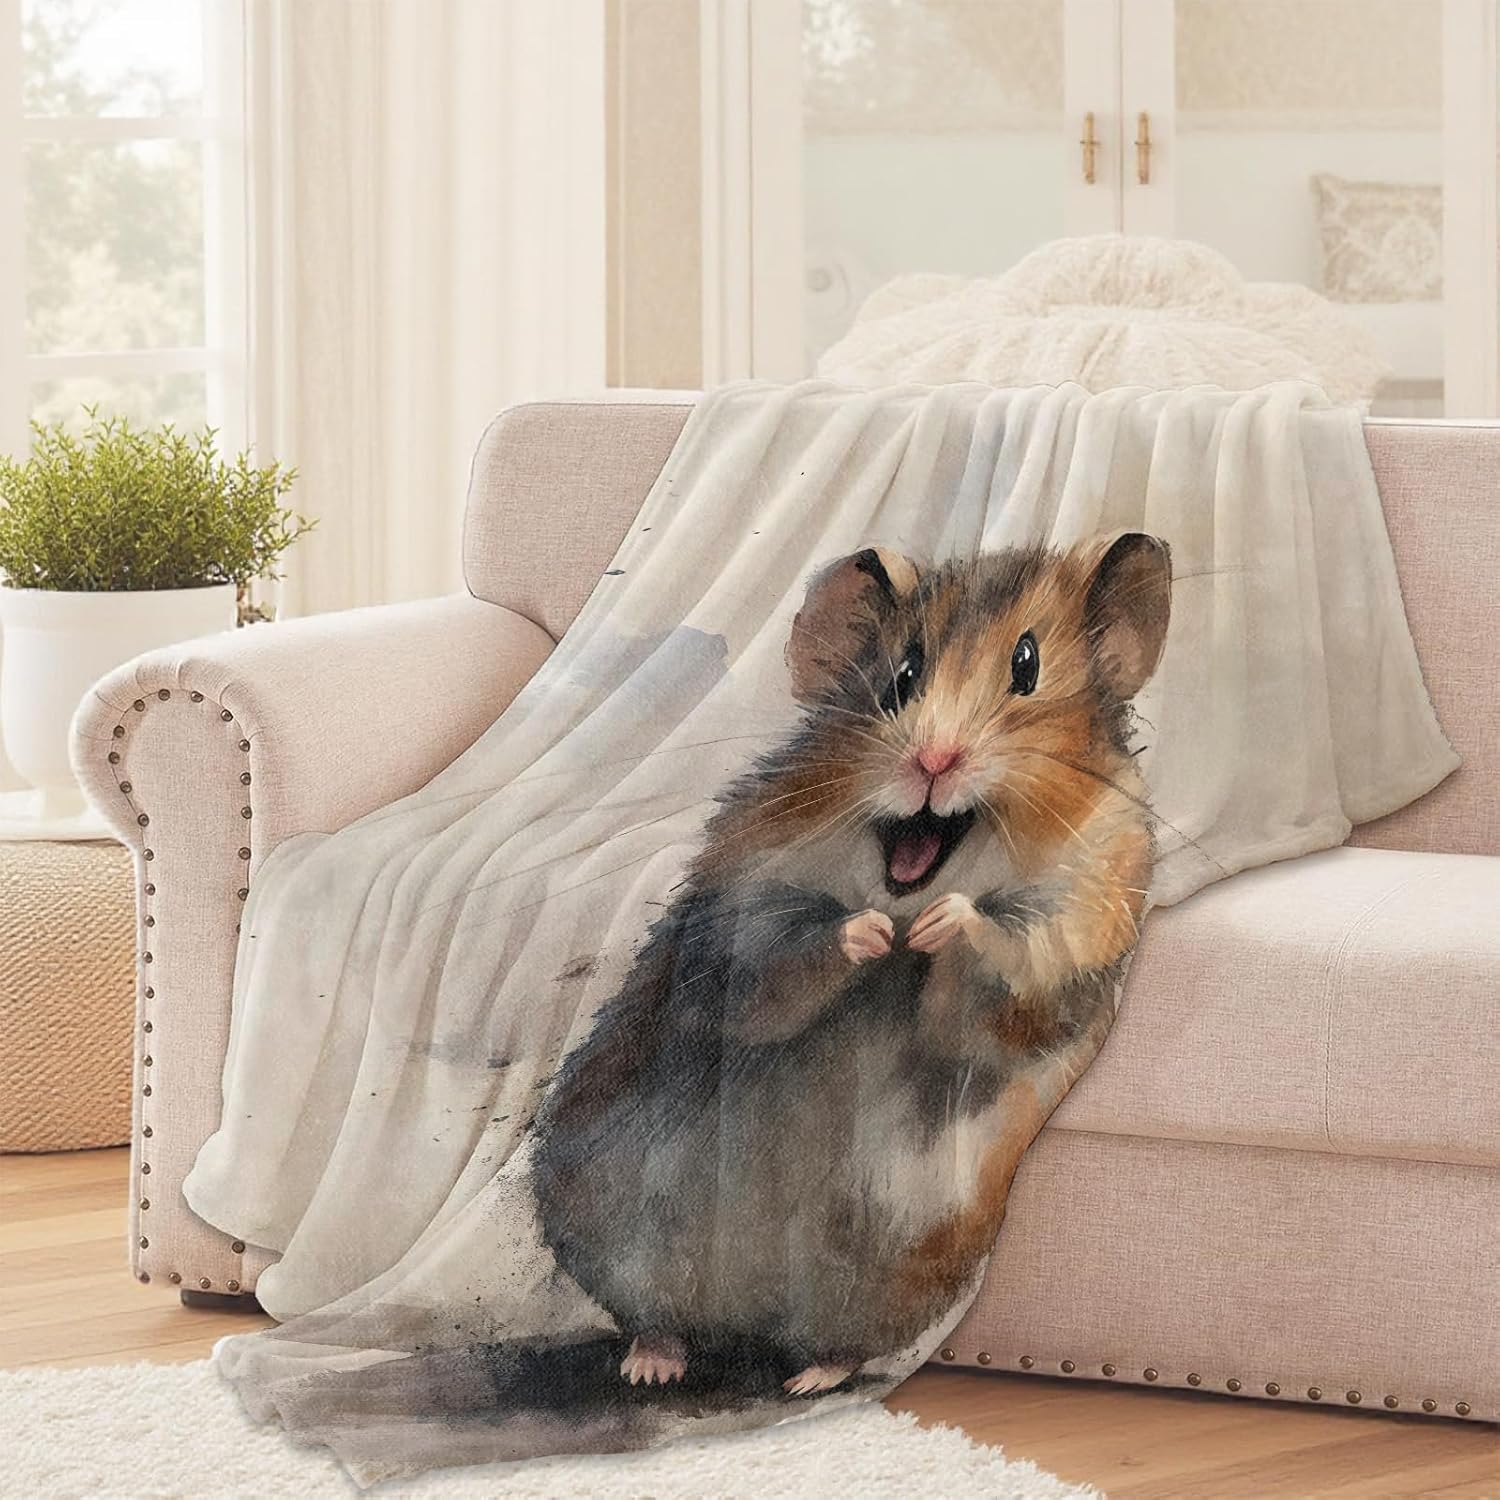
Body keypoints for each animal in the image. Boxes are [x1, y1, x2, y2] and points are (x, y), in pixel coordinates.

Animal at [532, 532, 1172, 1399]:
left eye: (1027, 665)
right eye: (902, 675)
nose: (933, 759)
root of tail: (749, 1320)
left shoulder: (1070, 934)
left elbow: (990, 983)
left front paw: (942, 927)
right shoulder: (743, 910)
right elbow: (782, 965)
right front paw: (868, 933)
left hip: (900, 1272)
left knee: (837, 1342)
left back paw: (809, 1378)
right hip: (607, 1211)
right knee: (655, 1315)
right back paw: (655, 1367)